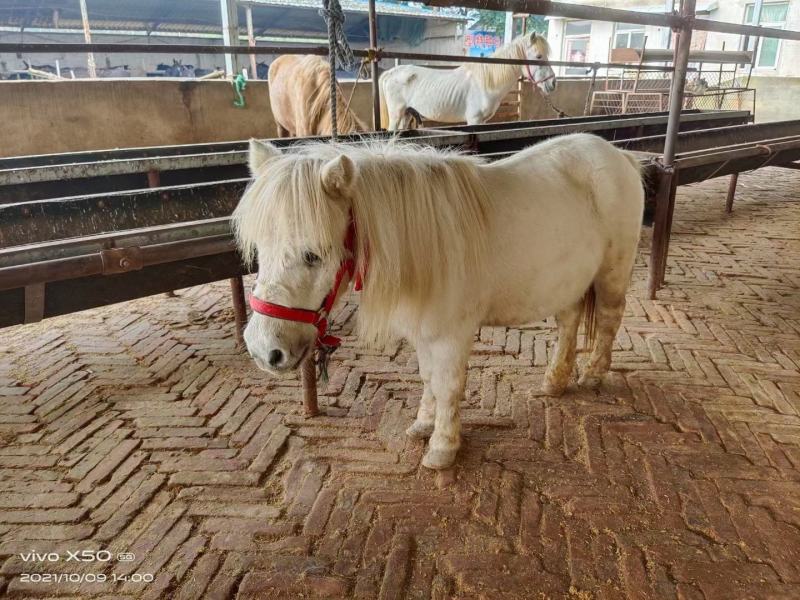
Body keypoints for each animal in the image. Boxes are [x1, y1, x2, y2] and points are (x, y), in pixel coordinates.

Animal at [233, 134, 643, 470]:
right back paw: (554, 381)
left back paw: (593, 374)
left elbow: (448, 386)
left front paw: (443, 448)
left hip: (612, 274)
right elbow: (429, 377)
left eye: (313, 255)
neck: (423, 248)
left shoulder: (451, 335)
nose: (263, 350)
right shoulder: (424, 332)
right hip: (569, 282)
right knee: (569, 322)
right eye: (260, 249)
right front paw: (423, 424)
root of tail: (618, 155)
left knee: (610, 318)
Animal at [379, 32, 556, 130]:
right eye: (538, 56)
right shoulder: (474, 120)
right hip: (396, 114)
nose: (553, 83)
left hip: (407, 114)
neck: (486, 83)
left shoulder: (482, 121)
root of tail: (390, 73)